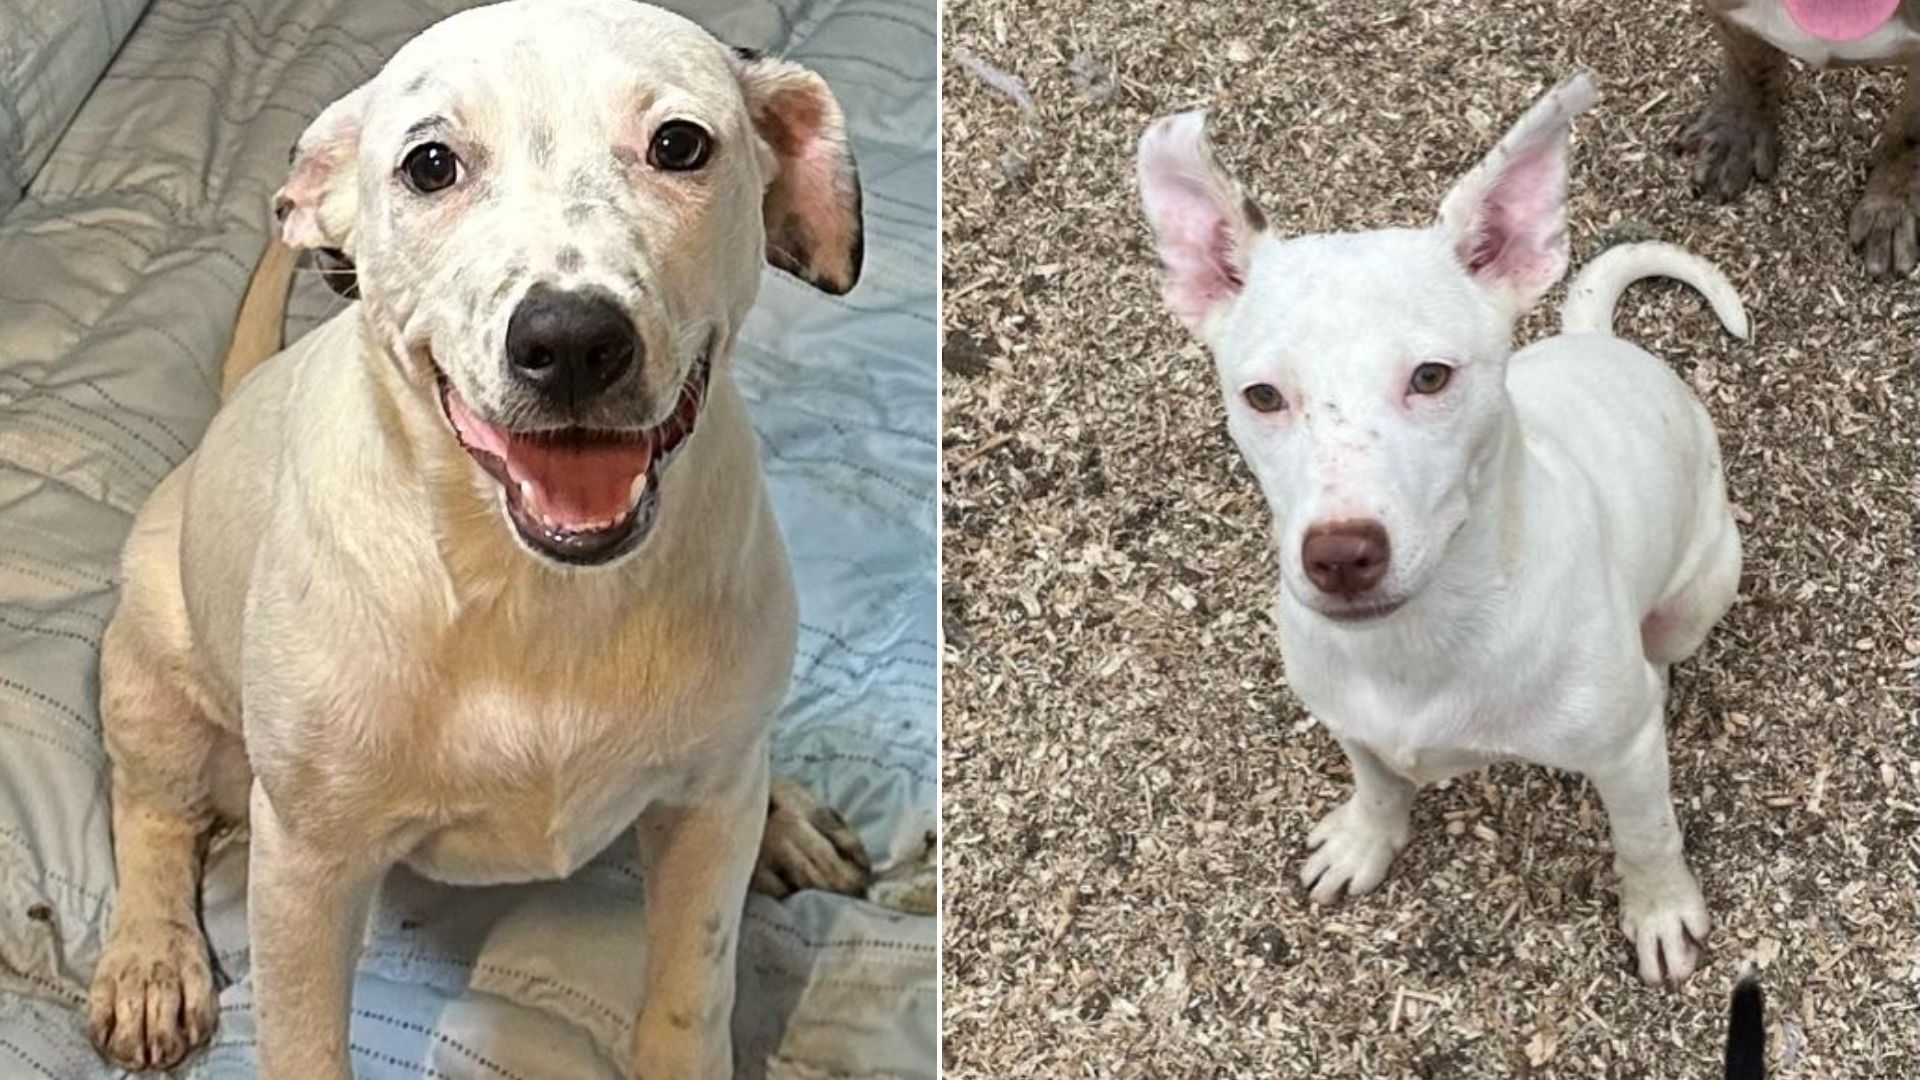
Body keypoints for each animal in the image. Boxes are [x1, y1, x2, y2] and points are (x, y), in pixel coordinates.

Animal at [88, 4, 871, 1068]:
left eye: (679, 144)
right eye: (430, 164)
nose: (572, 340)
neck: (531, 593)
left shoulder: (706, 828)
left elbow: (689, 996)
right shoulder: (305, 866)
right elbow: (301, 1041)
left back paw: (787, 813)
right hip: (150, 671)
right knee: (153, 811)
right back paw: (149, 957)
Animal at [1136, 73, 1758, 983]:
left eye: (1430, 377)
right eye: (1262, 396)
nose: (1341, 557)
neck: (1420, 644)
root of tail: (1599, 340)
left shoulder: (1626, 755)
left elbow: (1646, 834)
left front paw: (1659, 910)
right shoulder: (1349, 718)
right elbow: (1377, 781)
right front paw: (1366, 839)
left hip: (1701, 587)